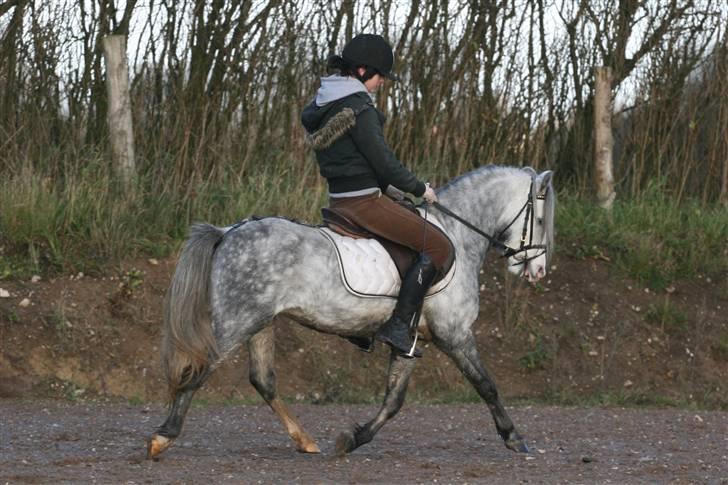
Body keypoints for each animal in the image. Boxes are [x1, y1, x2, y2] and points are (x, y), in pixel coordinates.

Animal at [149, 164, 556, 456]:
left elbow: (393, 401)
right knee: (200, 368)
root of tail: (228, 231)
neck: (459, 233)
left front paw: (353, 438)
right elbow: (486, 385)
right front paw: (514, 437)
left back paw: (305, 440)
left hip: (260, 323)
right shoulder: (454, 334)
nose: (537, 271)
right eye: (539, 220)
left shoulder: (411, 341)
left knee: (262, 380)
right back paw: (163, 437)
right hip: (238, 321)